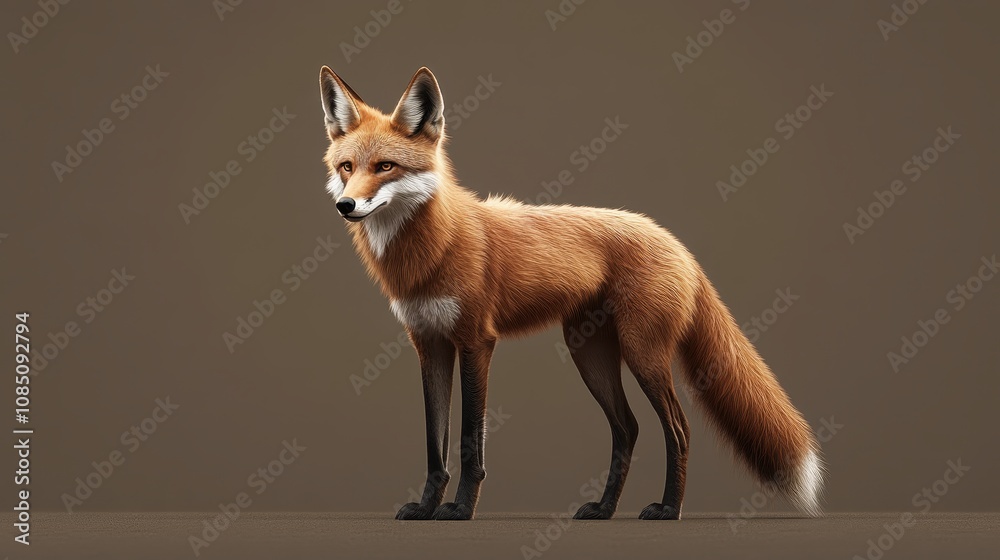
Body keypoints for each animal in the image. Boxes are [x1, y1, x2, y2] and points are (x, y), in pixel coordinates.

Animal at [318, 66, 824, 521]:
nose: (345, 205)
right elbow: (434, 444)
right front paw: (426, 507)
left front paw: (460, 509)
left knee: (677, 430)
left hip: (642, 354)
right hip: (591, 355)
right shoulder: (429, 345)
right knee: (628, 428)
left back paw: (669, 509)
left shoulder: (476, 342)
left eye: (386, 166)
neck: (433, 251)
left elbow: (467, 443)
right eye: (347, 167)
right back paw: (605, 509)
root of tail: (671, 239)